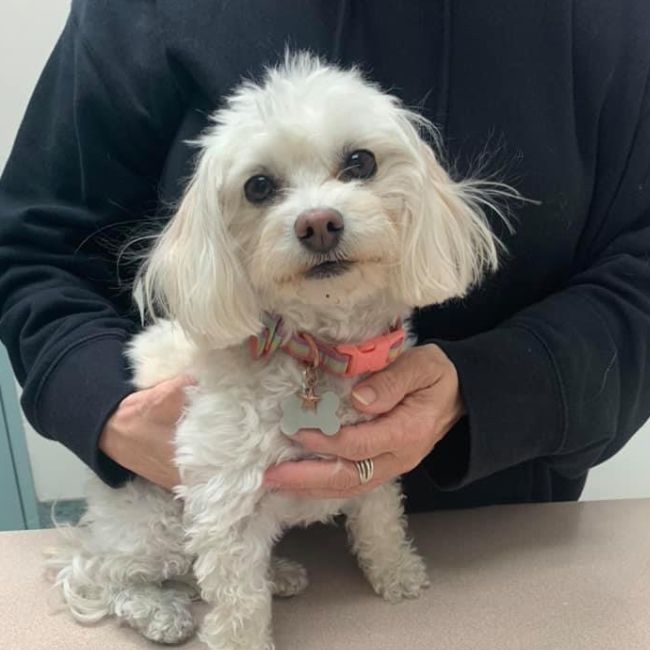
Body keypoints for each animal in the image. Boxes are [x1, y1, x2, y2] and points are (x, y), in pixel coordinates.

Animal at [48, 53, 504, 644]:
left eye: (360, 161)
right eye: (259, 186)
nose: (319, 223)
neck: (317, 349)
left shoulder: (378, 459)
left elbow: (380, 519)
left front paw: (396, 573)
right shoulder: (223, 503)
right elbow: (238, 601)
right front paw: (243, 640)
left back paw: (280, 573)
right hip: (154, 520)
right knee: (106, 575)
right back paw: (159, 611)